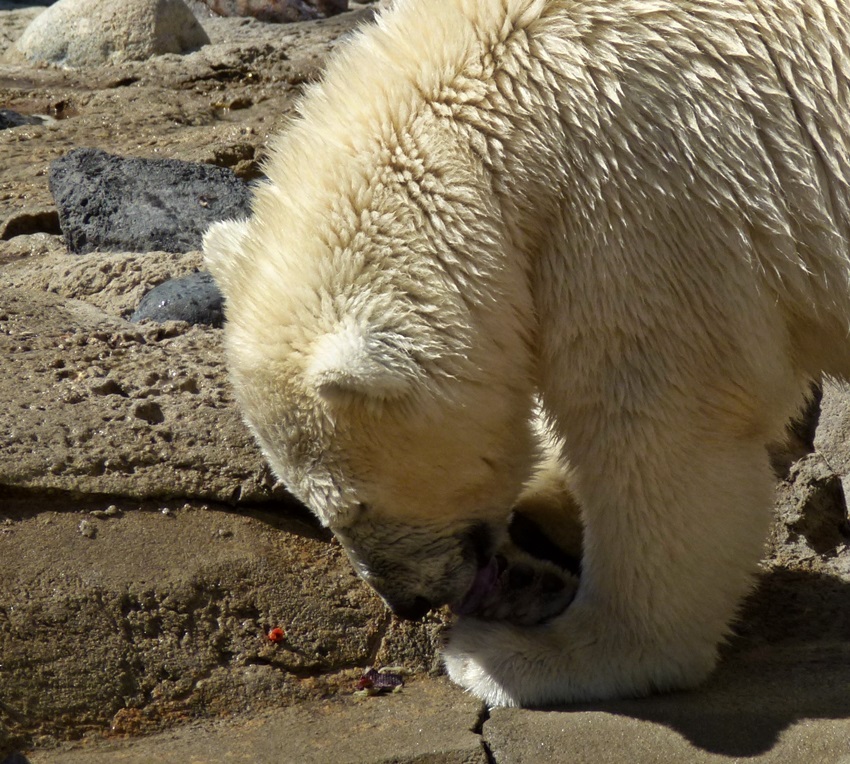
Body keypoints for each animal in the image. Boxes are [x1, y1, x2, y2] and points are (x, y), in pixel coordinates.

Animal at [204, 0, 848, 708]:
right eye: (310, 508)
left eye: (352, 504)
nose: (405, 603)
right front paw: (549, 509)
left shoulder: (642, 208)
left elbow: (660, 431)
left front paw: (527, 655)